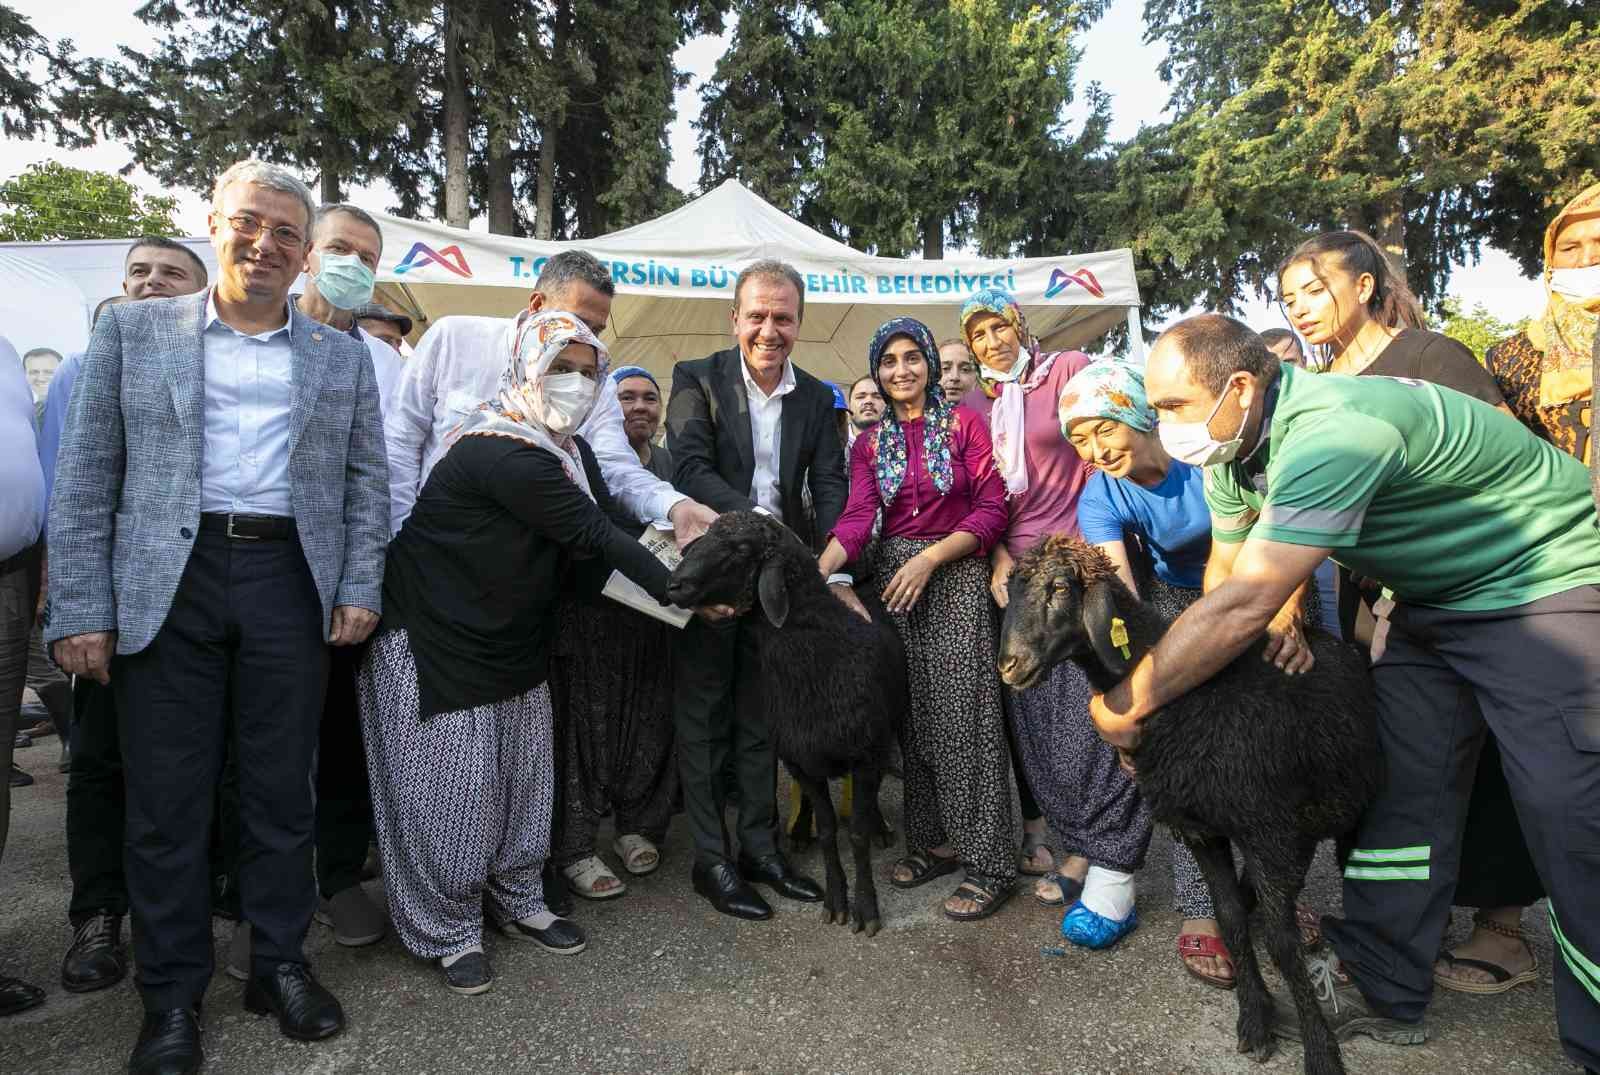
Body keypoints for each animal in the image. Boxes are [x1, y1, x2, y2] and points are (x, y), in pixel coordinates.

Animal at [665, 508, 915, 934]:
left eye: (741, 549)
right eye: (706, 534)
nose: (674, 584)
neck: (815, 648)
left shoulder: (866, 755)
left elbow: (857, 834)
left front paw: (866, 908)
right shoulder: (800, 760)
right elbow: (829, 832)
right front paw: (835, 901)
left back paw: (879, 824)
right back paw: (799, 832)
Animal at [998, 537, 1388, 1075]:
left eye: (1058, 587)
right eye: (1011, 588)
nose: (1008, 665)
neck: (1182, 695)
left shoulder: (1269, 831)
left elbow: (1283, 944)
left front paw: (1320, 1050)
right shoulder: (1202, 829)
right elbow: (1229, 919)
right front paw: (1255, 1018)